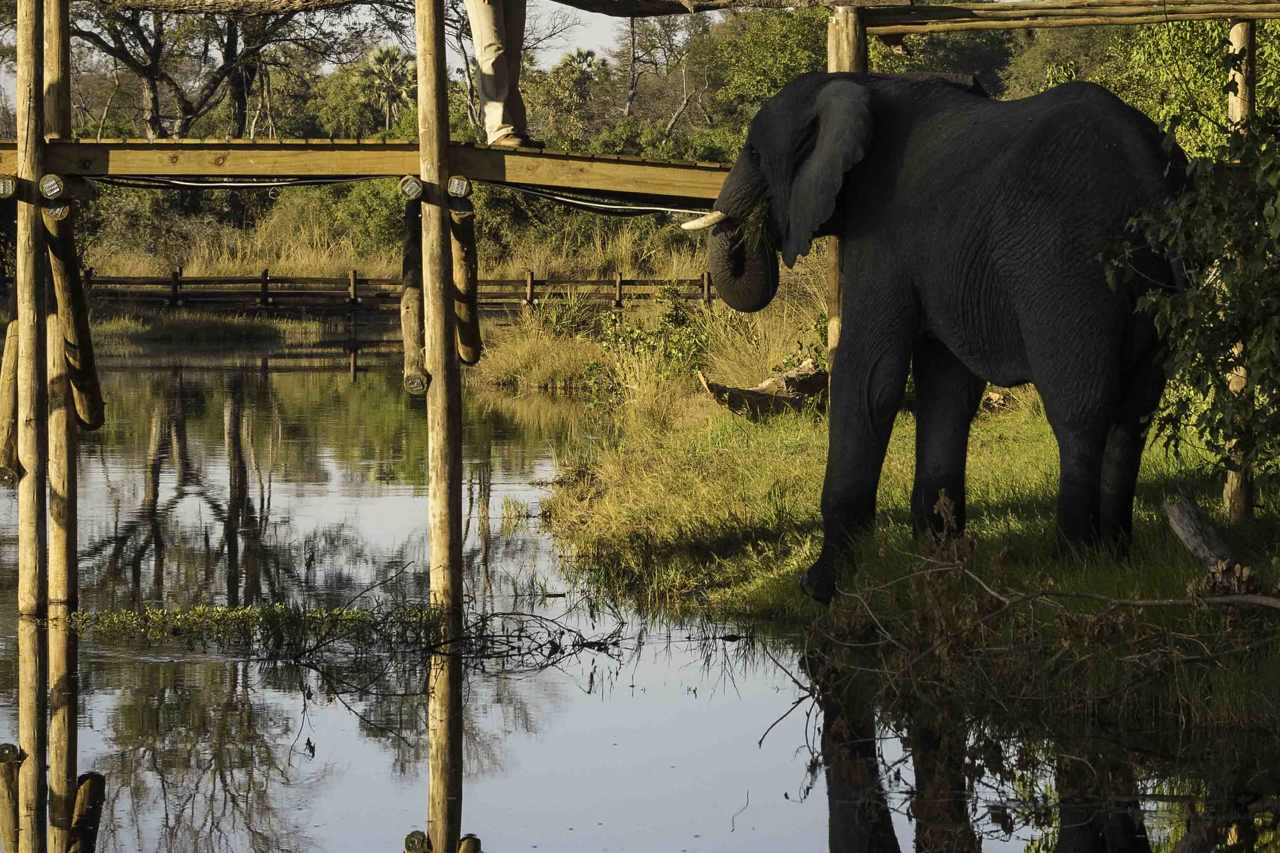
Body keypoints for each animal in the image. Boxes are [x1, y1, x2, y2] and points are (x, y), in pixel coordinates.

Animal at [683, 72, 1184, 604]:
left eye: (754, 152)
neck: (860, 87)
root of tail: (1149, 174)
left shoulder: (881, 232)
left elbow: (869, 378)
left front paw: (820, 587)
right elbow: (947, 388)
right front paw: (939, 565)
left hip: (1072, 270)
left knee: (1079, 412)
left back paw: (1072, 564)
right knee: (1135, 414)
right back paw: (1116, 557)